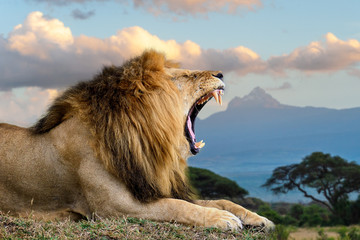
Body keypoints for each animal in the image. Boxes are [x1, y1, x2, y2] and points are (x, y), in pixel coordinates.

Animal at [0, 49, 274, 232]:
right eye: (186, 76)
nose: (220, 73)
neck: (143, 141)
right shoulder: (113, 207)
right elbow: (176, 206)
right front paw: (222, 219)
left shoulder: (149, 187)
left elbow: (218, 200)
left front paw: (257, 217)